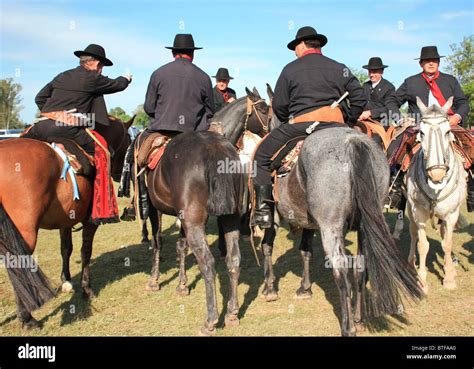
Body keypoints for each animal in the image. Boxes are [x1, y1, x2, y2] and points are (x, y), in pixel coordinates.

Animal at [0, 115, 133, 328]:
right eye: (128, 141)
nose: (121, 172)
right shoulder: (90, 222)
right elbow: (85, 251)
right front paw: (87, 289)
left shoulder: (65, 221)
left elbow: (66, 249)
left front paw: (66, 281)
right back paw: (27, 317)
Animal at [258, 87, 424, 334]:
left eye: (269, 115)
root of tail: (353, 142)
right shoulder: (309, 222)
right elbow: (306, 250)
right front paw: (305, 288)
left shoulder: (275, 214)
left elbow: (268, 246)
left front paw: (269, 288)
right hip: (365, 226)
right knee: (360, 268)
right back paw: (358, 318)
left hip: (331, 227)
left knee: (341, 271)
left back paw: (348, 326)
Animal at [406, 96, 468, 292]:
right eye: (422, 133)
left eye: (448, 132)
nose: (437, 174)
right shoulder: (418, 213)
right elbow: (422, 244)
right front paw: (421, 281)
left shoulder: (451, 214)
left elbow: (447, 244)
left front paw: (448, 279)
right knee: (412, 233)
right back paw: (410, 265)